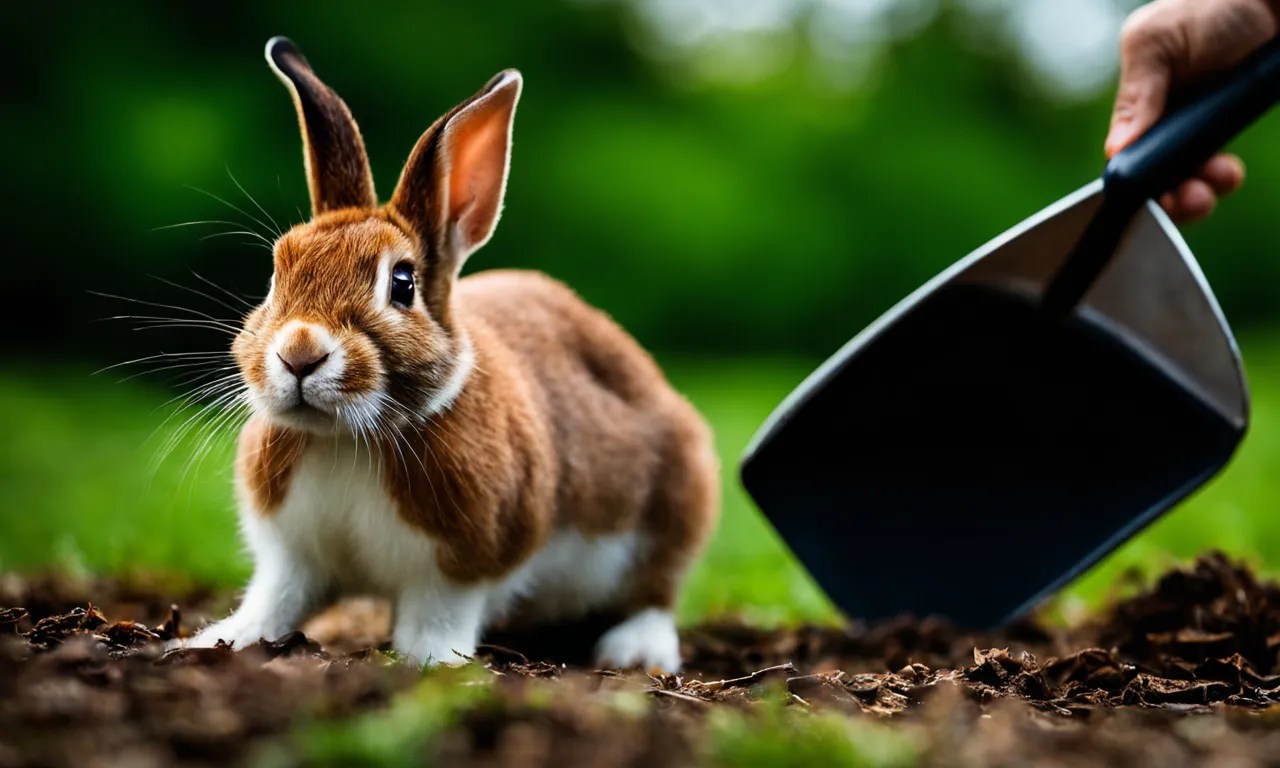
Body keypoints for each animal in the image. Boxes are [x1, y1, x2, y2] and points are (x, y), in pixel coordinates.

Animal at [183, 37, 719, 672]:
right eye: (275, 273)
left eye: (402, 284)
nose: (299, 353)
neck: (346, 441)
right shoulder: (294, 556)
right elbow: (275, 601)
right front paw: (217, 640)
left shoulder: (460, 565)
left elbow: (438, 616)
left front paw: (430, 663)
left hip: (673, 507)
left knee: (656, 592)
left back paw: (635, 650)